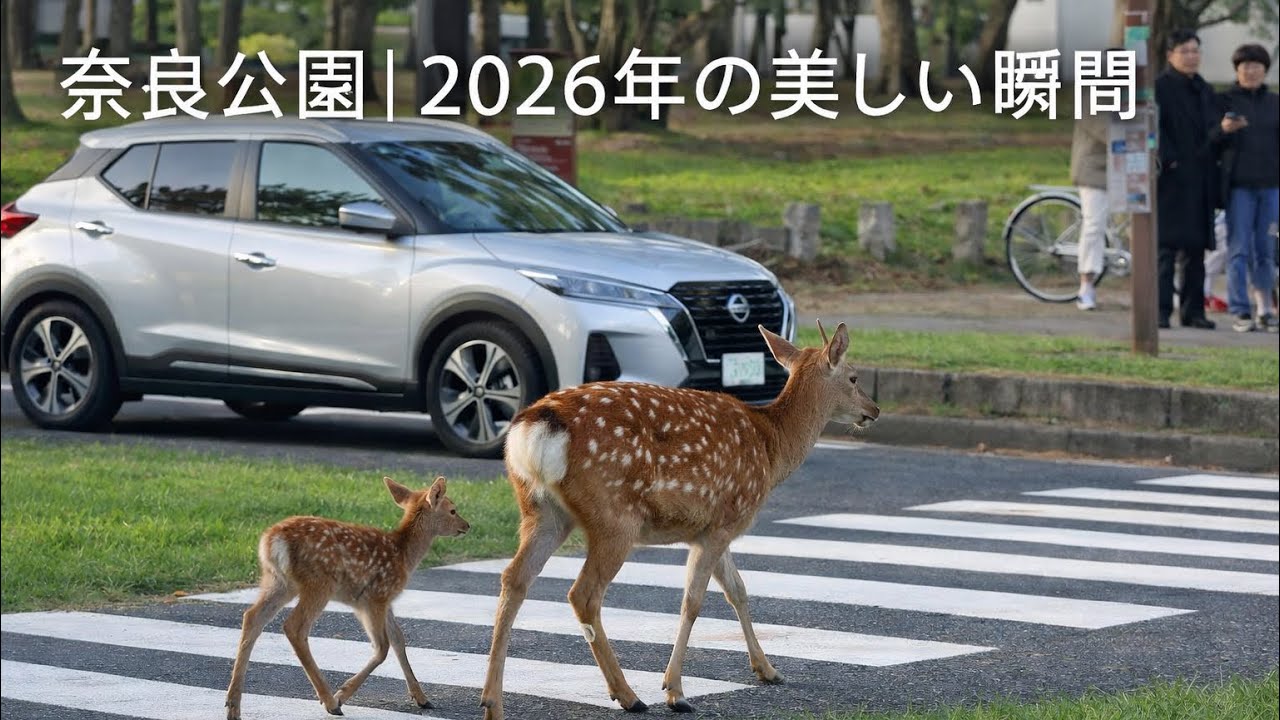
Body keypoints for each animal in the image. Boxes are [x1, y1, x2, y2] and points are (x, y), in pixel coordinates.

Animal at [224, 475, 470, 720]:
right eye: (453, 510)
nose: (467, 525)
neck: (403, 556)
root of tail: (272, 540)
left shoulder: (385, 599)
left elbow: (399, 639)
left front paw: (421, 698)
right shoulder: (373, 598)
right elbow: (382, 647)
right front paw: (342, 693)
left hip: (278, 582)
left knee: (252, 617)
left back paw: (233, 705)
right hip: (319, 583)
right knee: (294, 627)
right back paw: (330, 701)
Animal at [479, 320, 879, 719]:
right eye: (854, 377)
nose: (874, 409)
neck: (771, 446)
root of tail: (538, 425)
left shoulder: (713, 526)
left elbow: (738, 590)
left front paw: (768, 670)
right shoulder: (725, 521)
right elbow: (694, 600)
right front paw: (675, 690)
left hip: (541, 511)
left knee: (514, 579)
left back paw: (492, 701)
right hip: (614, 516)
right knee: (584, 594)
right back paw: (628, 695)